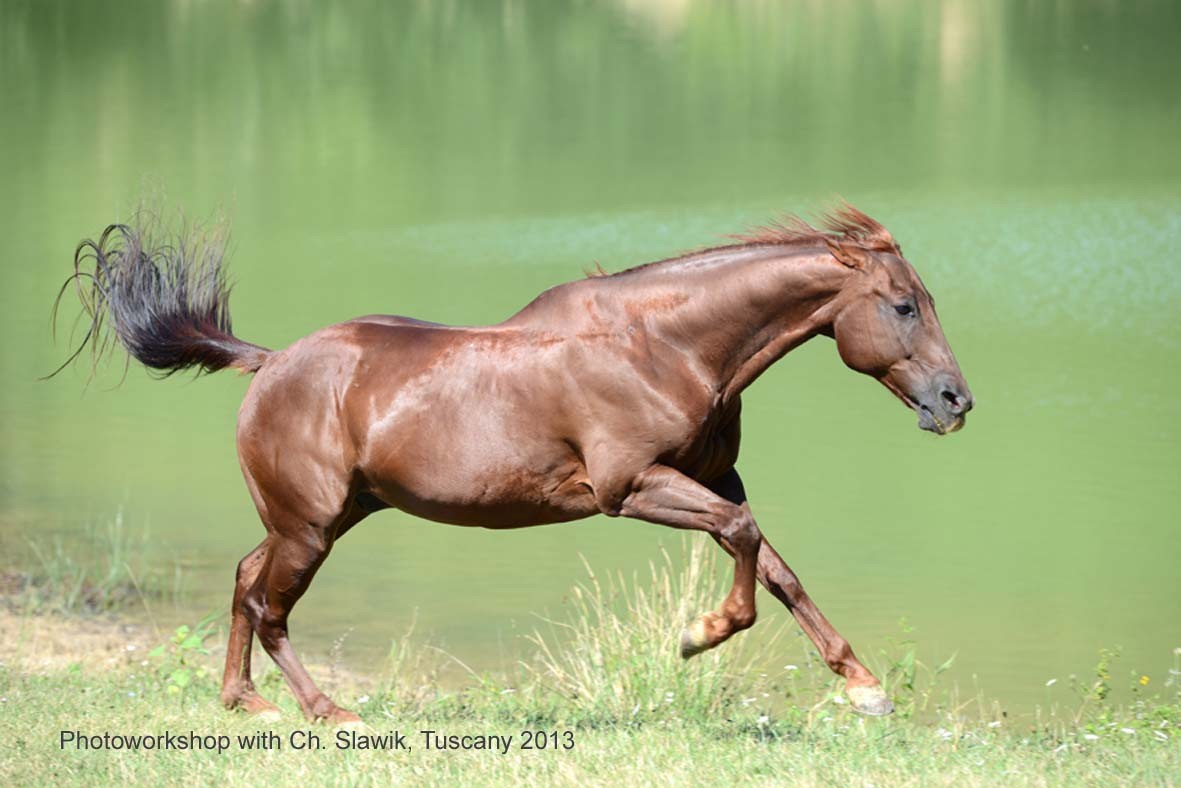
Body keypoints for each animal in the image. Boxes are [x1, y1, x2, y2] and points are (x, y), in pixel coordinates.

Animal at [53, 206, 968, 723]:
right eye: (902, 305)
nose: (956, 400)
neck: (665, 346)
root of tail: (270, 362)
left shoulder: (711, 479)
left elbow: (776, 568)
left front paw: (864, 688)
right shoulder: (630, 488)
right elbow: (745, 544)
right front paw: (695, 636)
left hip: (325, 516)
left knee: (246, 578)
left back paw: (246, 704)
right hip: (308, 527)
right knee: (267, 603)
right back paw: (327, 712)